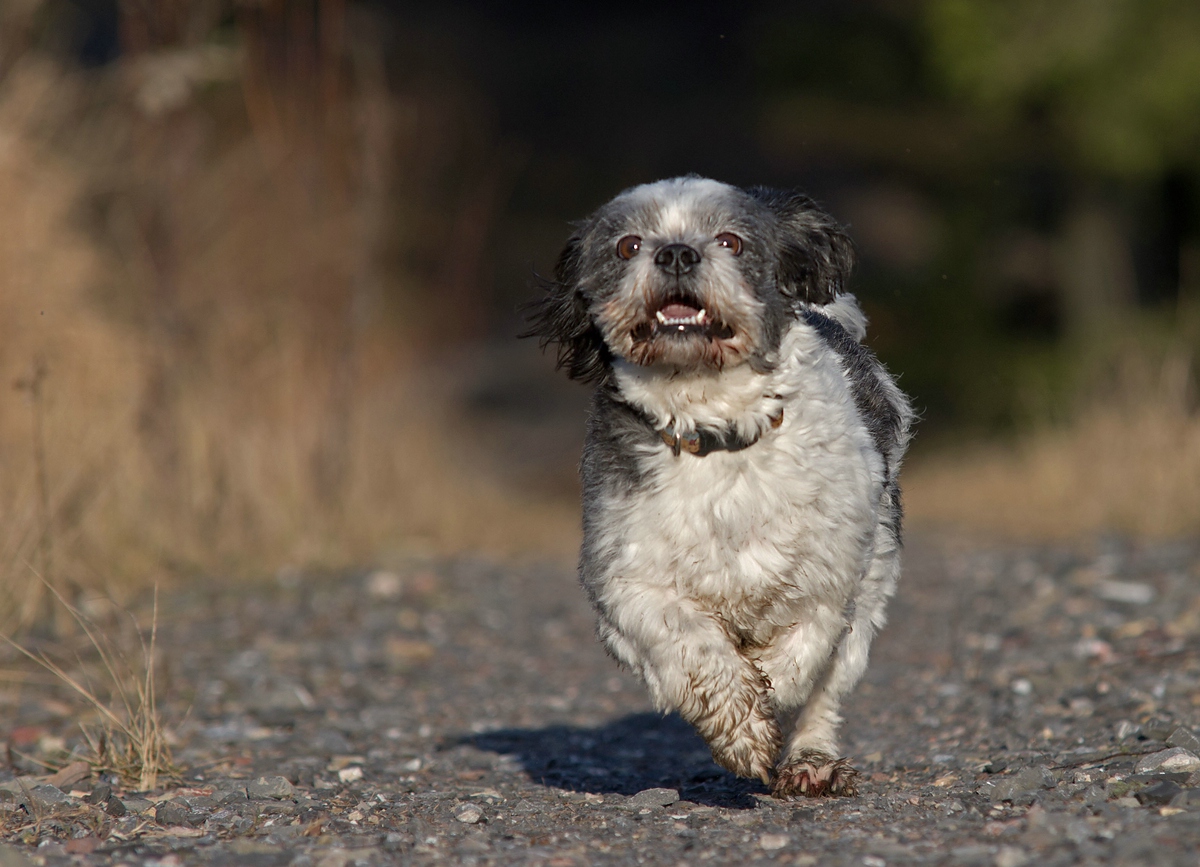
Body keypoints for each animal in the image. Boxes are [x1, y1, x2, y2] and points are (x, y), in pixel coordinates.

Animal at [530, 175, 912, 797]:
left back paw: (811, 761)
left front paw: (772, 688)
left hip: (875, 574)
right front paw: (742, 727)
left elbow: (803, 648)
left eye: (730, 241)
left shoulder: (830, 571)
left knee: (828, 688)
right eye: (628, 246)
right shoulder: (628, 580)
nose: (677, 253)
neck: (716, 428)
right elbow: (692, 648)